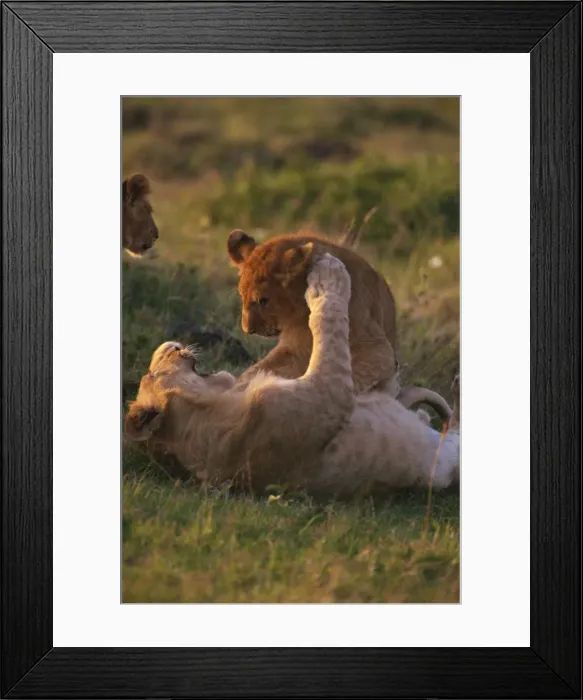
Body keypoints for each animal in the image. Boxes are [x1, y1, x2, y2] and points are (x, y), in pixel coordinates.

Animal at [125, 255, 459, 498]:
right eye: (151, 372)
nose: (169, 344)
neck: (207, 406)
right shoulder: (329, 394)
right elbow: (328, 324)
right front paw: (328, 276)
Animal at [227, 229, 452, 421]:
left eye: (263, 300)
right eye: (241, 296)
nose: (248, 330)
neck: (302, 313)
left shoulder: (376, 349)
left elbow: (350, 379)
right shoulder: (293, 350)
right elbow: (257, 371)